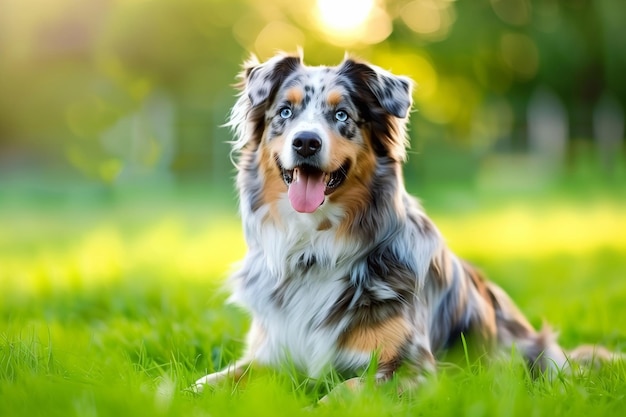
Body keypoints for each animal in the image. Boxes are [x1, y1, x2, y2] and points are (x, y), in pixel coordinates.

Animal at [193, 52, 616, 396]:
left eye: (342, 115)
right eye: (285, 112)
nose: (306, 142)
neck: (314, 248)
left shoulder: (414, 369)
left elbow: (345, 390)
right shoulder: (271, 355)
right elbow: (207, 382)